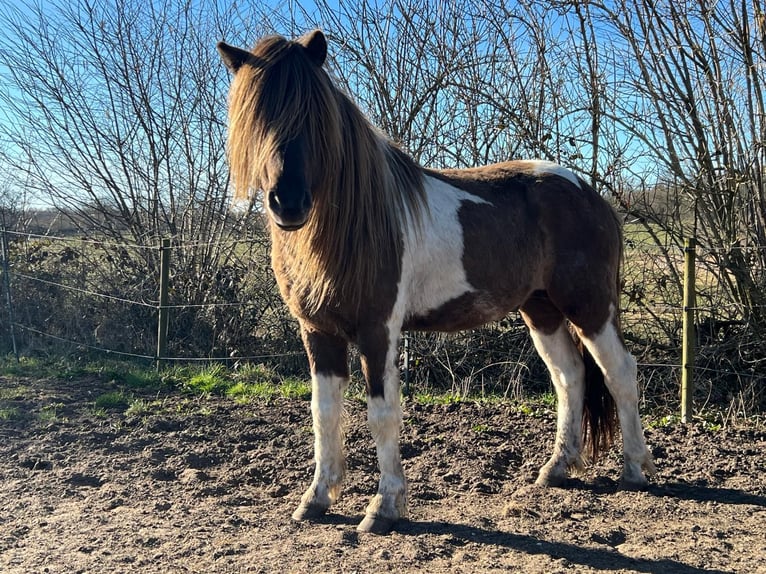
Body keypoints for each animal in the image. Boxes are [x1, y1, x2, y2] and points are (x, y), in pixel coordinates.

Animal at [217, 30, 656, 534]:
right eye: (256, 117)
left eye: (313, 115)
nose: (287, 203)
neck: (352, 225)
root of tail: (588, 192)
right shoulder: (318, 332)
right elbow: (324, 413)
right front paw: (317, 498)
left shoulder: (378, 331)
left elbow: (382, 414)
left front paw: (384, 506)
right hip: (541, 309)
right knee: (570, 375)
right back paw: (556, 468)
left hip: (589, 305)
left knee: (620, 372)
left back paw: (634, 469)